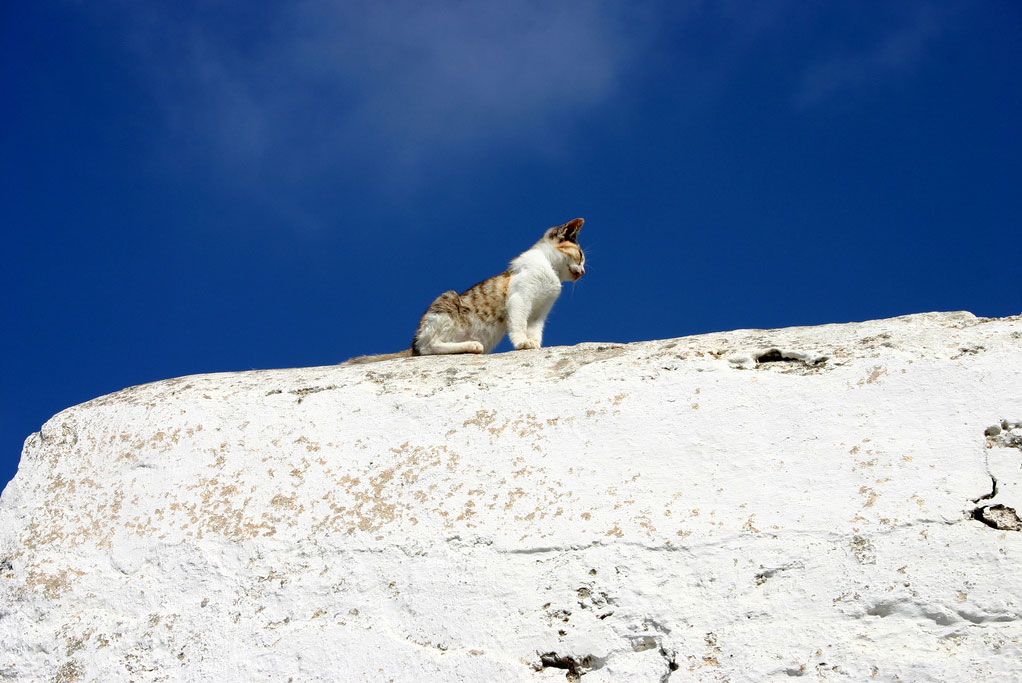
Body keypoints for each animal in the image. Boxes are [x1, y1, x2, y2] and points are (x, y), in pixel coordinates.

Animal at [345, 218, 588, 366]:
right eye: (581, 256)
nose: (584, 271)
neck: (550, 270)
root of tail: (412, 343)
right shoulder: (520, 298)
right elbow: (519, 323)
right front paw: (522, 342)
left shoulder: (540, 312)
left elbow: (535, 330)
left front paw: (534, 343)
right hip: (447, 304)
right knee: (428, 347)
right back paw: (470, 345)